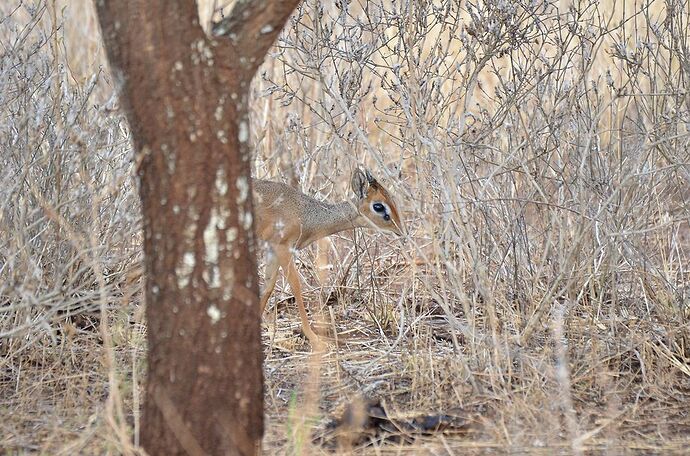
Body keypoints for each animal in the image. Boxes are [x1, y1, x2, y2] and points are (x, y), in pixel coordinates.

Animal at [253, 169, 404, 340]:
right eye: (378, 206)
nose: (399, 229)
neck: (305, 215)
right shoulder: (283, 249)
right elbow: (296, 286)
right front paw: (311, 335)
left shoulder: (273, 250)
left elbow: (268, 287)